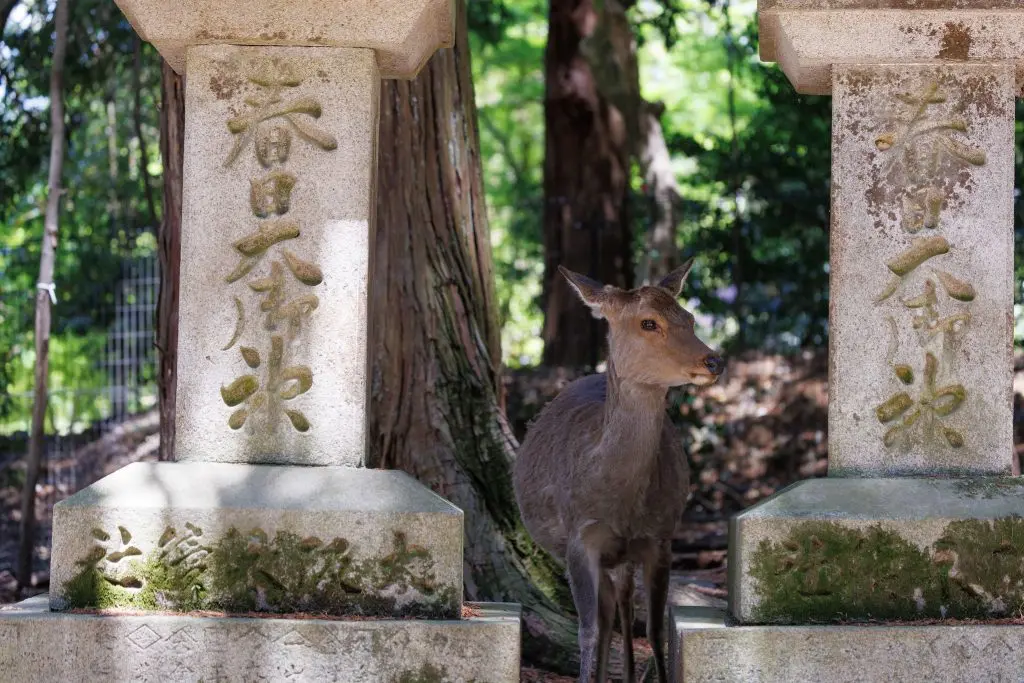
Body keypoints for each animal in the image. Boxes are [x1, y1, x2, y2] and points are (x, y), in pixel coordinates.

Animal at [513, 260, 724, 683]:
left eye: (690, 318)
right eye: (648, 323)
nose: (714, 361)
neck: (619, 503)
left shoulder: (661, 537)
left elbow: (655, 630)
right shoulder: (580, 539)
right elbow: (588, 629)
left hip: (627, 556)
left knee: (623, 604)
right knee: (608, 609)